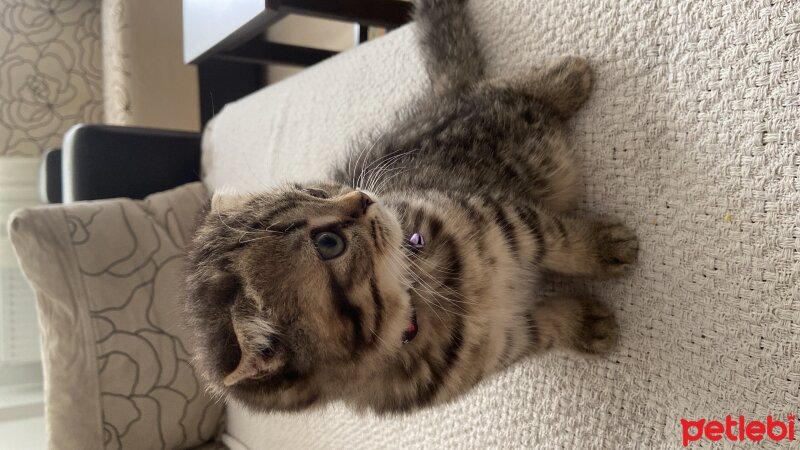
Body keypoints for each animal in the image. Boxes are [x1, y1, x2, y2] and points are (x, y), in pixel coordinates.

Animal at [183, 0, 636, 414]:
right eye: (329, 243)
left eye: (315, 191)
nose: (363, 198)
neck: (419, 290)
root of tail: (440, 100)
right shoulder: (502, 343)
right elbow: (546, 326)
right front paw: (585, 321)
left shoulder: (498, 216)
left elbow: (556, 238)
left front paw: (602, 247)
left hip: (488, 119)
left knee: (509, 90)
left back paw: (567, 77)